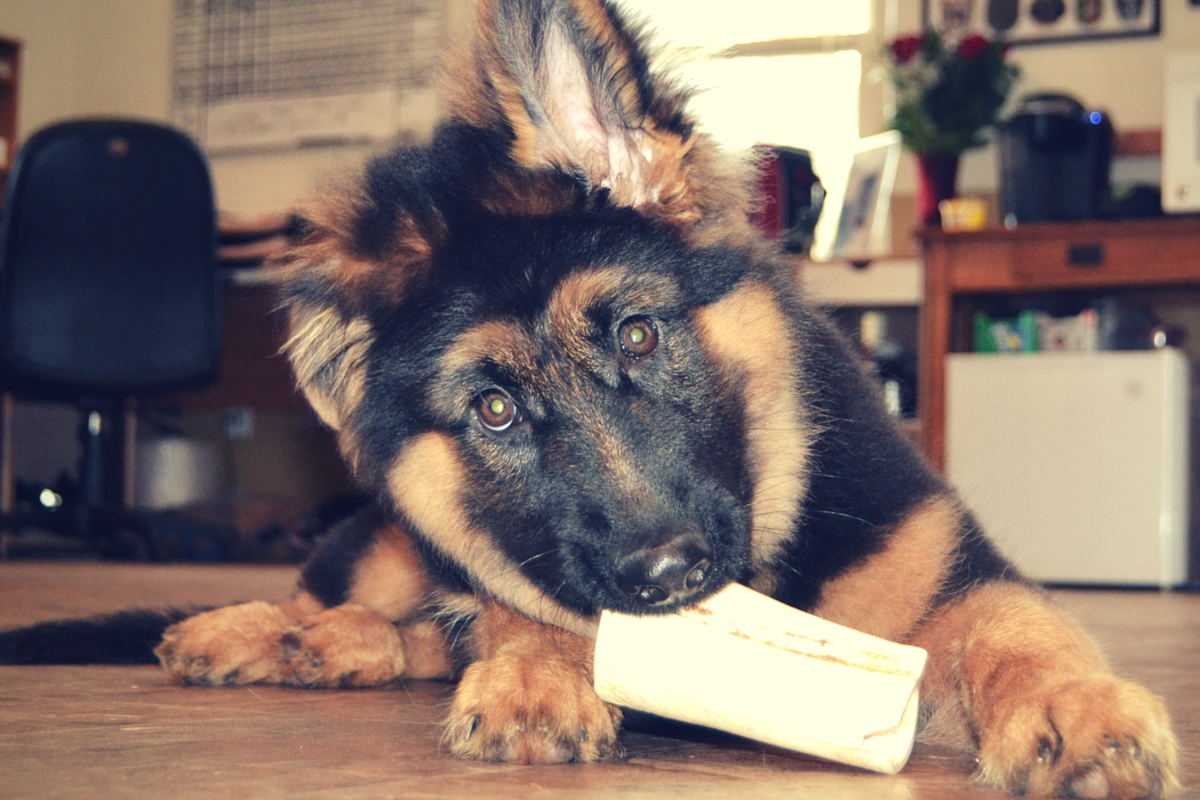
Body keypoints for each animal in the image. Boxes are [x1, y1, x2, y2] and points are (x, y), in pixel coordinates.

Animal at [0, 0, 1179, 796]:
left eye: (639, 334)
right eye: (492, 410)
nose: (667, 575)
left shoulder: (952, 568)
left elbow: (1021, 626)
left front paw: (1080, 707)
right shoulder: (513, 562)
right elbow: (521, 607)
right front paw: (536, 673)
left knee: (404, 633)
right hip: (395, 537)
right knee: (350, 599)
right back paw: (265, 631)